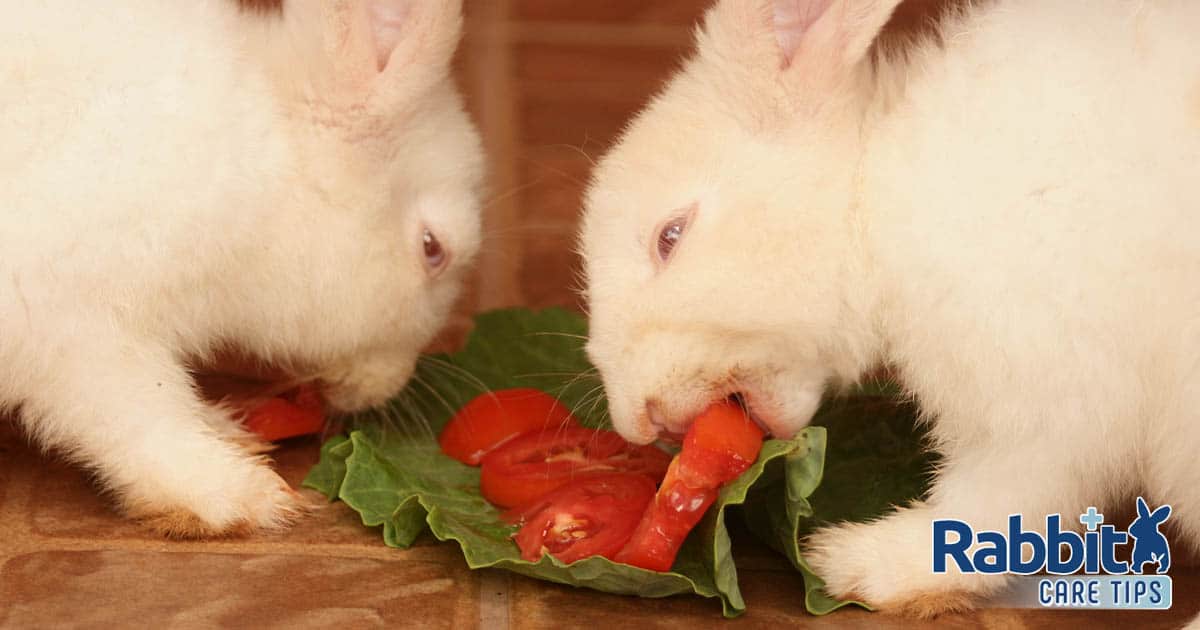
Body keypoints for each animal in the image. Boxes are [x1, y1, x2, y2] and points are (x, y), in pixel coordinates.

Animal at [1, 0, 477, 537]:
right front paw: (240, 497)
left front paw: (228, 429)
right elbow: (139, 413)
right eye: (433, 249)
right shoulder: (73, 326)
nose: (389, 383)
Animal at [578, 0, 1190, 614]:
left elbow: (998, 504)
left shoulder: (1043, 397)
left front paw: (858, 564)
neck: (872, 195)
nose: (638, 420)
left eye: (670, 236)